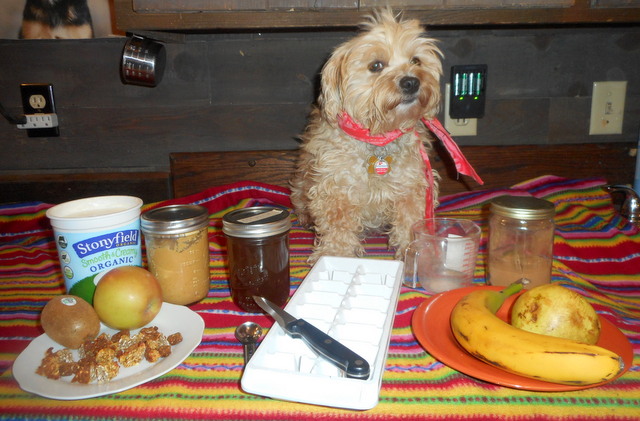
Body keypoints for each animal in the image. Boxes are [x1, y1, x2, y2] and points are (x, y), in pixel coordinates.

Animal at [292, 9, 444, 262]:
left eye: (416, 60)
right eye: (376, 65)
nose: (411, 82)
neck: (378, 138)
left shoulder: (411, 187)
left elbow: (410, 222)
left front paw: (414, 252)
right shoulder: (336, 190)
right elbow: (338, 228)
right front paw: (335, 255)